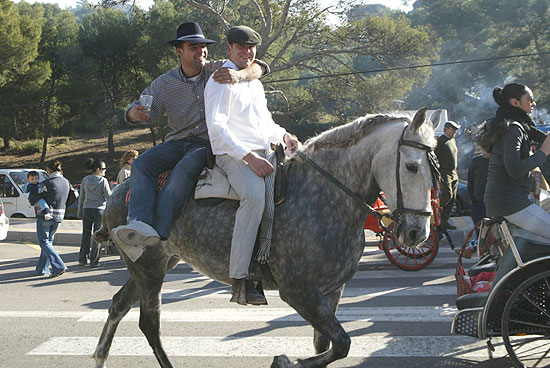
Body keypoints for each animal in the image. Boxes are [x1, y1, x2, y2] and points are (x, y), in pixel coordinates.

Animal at [92, 108, 442, 366]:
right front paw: (285, 361)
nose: (417, 232)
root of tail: (119, 191)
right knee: (149, 323)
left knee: (118, 305)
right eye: (412, 166)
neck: (324, 194)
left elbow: (325, 345)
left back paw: (99, 356)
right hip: (149, 268)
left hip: (155, 264)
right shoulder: (299, 292)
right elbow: (341, 343)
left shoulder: (332, 291)